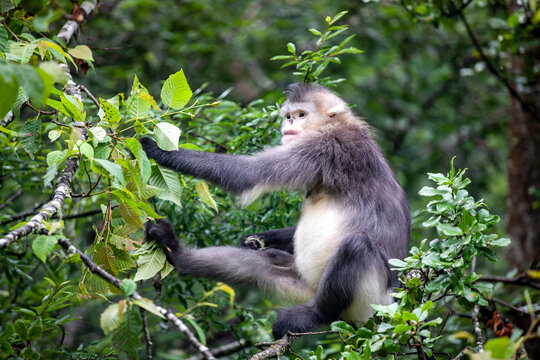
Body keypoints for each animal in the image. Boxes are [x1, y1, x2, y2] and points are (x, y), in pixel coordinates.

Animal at [139, 83, 410, 338]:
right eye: (289, 115)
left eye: (301, 115)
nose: (290, 122)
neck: (338, 124)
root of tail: (395, 304)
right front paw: (257, 239)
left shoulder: (324, 145)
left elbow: (246, 174)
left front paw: (154, 149)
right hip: (304, 285)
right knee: (258, 264)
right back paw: (178, 253)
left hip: (370, 300)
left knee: (356, 245)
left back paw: (314, 315)